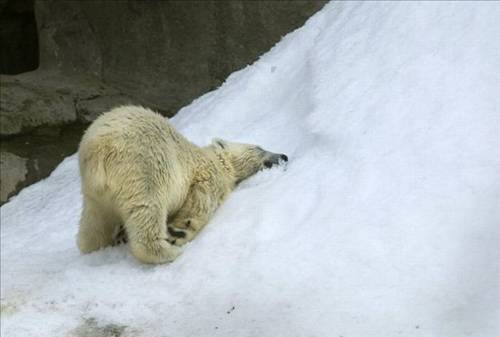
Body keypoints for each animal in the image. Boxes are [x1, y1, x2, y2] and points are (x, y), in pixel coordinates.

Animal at [78, 105, 290, 262]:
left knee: (95, 223)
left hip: (95, 193)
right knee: (147, 209)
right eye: (259, 147)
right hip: (143, 168)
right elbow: (199, 204)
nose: (284, 156)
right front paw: (176, 232)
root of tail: (97, 150)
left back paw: (94, 244)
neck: (213, 157)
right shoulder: (207, 175)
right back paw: (167, 252)